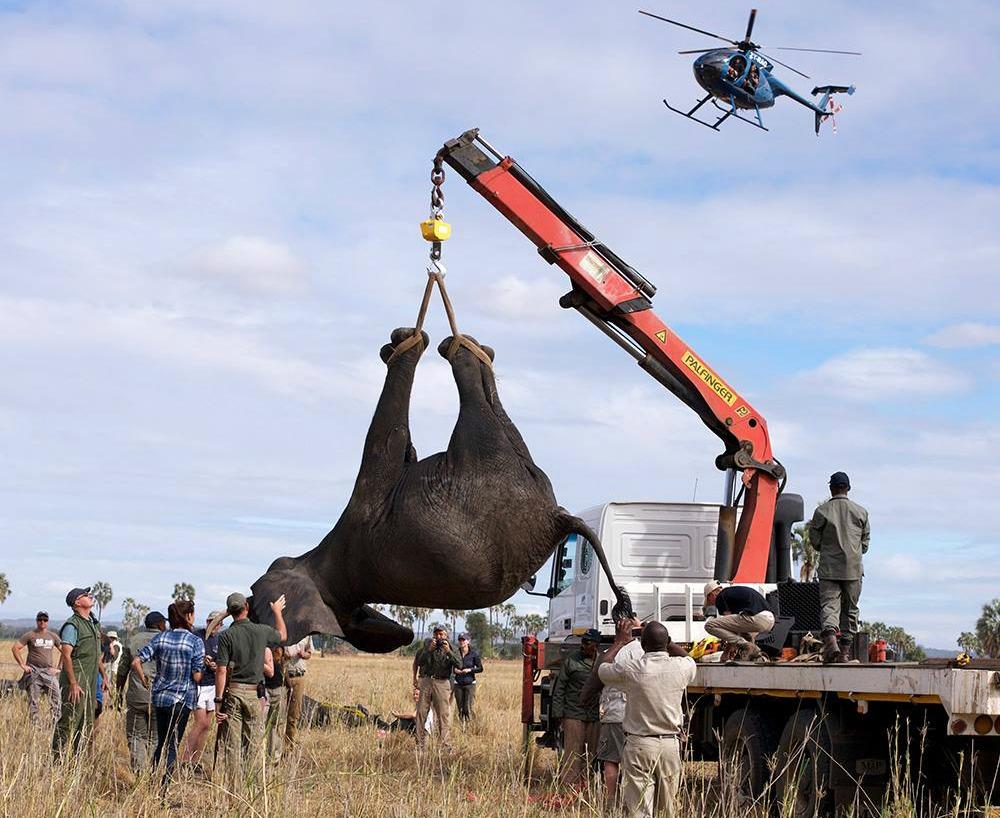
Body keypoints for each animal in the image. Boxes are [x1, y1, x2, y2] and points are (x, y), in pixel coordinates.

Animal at [248, 326, 624, 652]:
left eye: (277, 564)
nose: (247, 600)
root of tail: (556, 517)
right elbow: (389, 439)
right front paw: (406, 343)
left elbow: (396, 443)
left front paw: (397, 344)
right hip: (486, 454)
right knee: (483, 408)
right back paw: (462, 349)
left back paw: (472, 348)